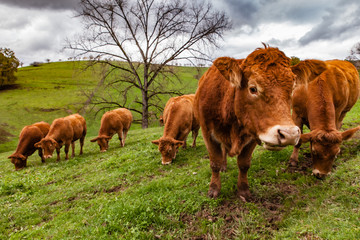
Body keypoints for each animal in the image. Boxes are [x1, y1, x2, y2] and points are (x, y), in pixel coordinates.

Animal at [194, 45, 300, 201]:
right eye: (253, 88)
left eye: (292, 89)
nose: (290, 134)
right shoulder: (207, 133)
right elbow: (214, 163)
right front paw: (214, 189)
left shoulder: (253, 135)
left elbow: (244, 164)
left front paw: (243, 190)